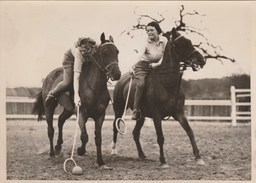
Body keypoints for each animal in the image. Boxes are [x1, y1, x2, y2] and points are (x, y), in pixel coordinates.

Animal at [32, 33, 121, 169]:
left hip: (69, 109)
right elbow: (84, 136)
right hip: (49, 108)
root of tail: (48, 76)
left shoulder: (100, 115)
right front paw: (80, 150)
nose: (117, 74)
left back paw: (58, 147)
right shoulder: (81, 113)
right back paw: (52, 153)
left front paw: (100, 162)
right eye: (105, 52)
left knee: (61, 120)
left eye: (117, 52)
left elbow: (98, 139)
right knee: (51, 130)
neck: (94, 87)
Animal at [111, 28, 206, 167]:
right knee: (115, 128)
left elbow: (190, 131)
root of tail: (120, 81)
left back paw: (142, 155)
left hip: (141, 117)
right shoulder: (156, 115)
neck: (166, 84)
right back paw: (113, 151)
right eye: (181, 44)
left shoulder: (179, 113)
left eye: (189, 42)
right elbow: (160, 137)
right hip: (118, 110)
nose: (201, 60)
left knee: (135, 133)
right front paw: (163, 161)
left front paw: (199, 157)